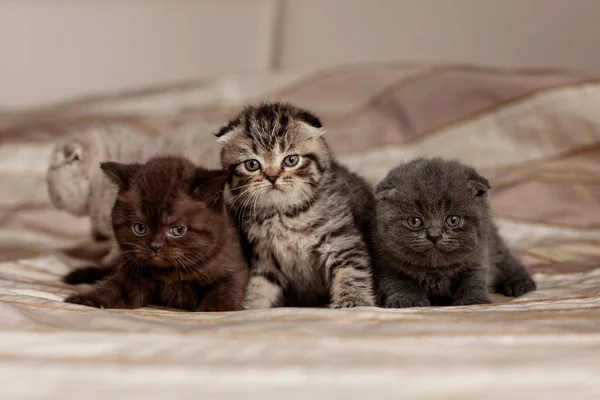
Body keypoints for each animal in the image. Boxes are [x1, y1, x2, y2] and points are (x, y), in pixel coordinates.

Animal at [66, 156, 251, 312]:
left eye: (178, 230)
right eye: (140, 228)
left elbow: (226, 288)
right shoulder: (132, 274)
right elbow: (114, 288)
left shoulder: (233, 266)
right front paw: (88, 300)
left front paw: (213, 308)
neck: (169, 274)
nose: (155, 247)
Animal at [216, 101, 376, 308]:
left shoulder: (339, 237)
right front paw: (251, 307)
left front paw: (352, 301)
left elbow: (350, 270)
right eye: (252, 165)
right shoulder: (266, 256)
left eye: (291, 160)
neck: (283, 214)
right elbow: (261, 283)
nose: (272, 177)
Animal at [376, 158, 536, 308]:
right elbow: (400, 283)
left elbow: (473, 280)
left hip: (494, 242)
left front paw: (472, 300)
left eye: (453, 220)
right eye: (415, 221)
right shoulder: (388, 264)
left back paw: (521, 283)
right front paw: (407, 300)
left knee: (507, 260)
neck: (436, 269)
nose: (434, 235)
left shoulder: (477, 257)